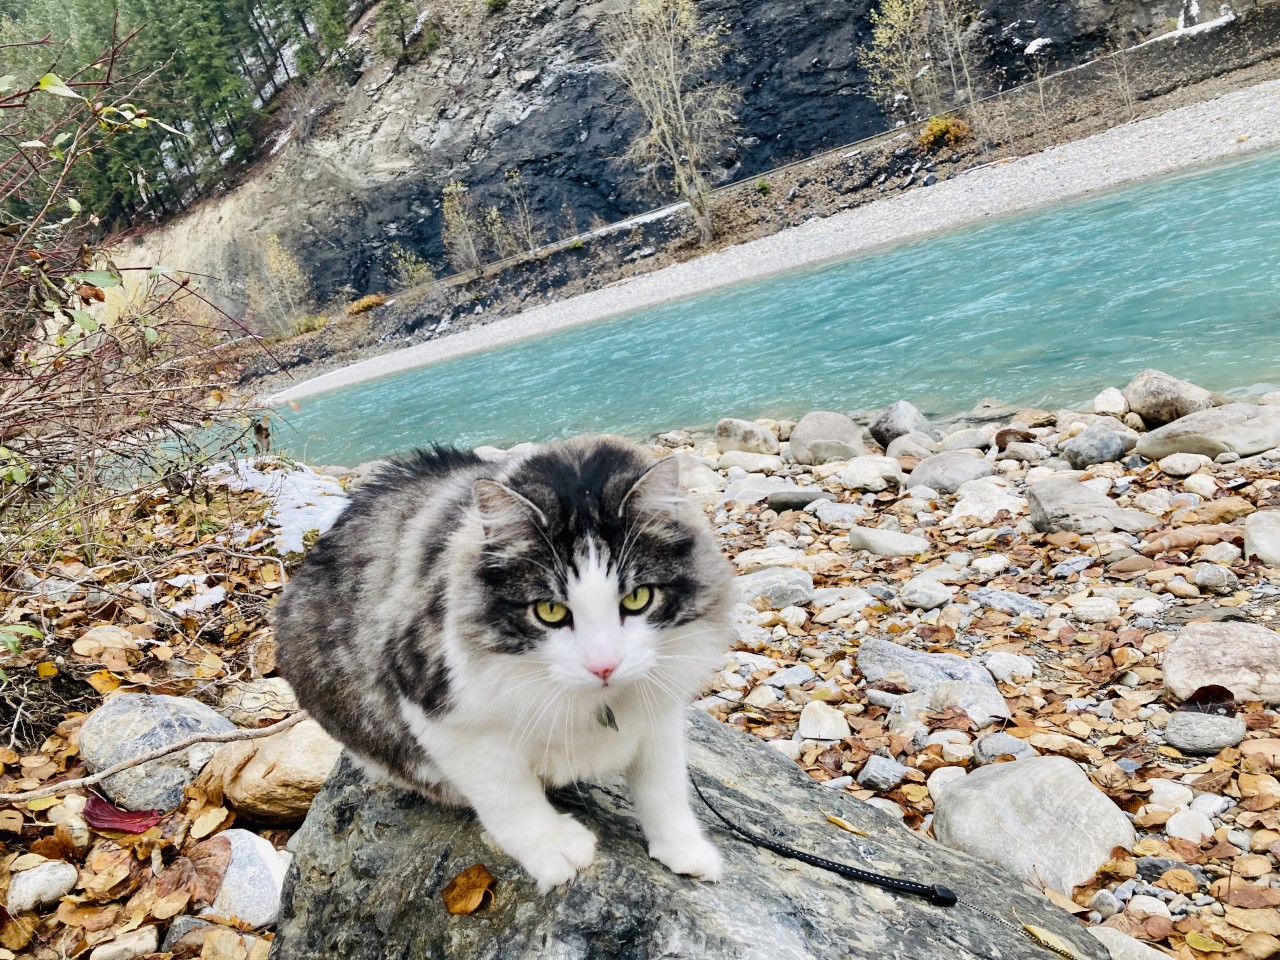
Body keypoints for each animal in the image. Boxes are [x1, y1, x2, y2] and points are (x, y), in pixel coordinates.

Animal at [275, 435, 737, 896]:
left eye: (638, 599)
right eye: (549, 611)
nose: (604, 666)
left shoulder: (660, 711)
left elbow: (665, 787)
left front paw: (684, 850)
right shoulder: (441, 714)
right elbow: (511, 799)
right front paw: (556, 849)